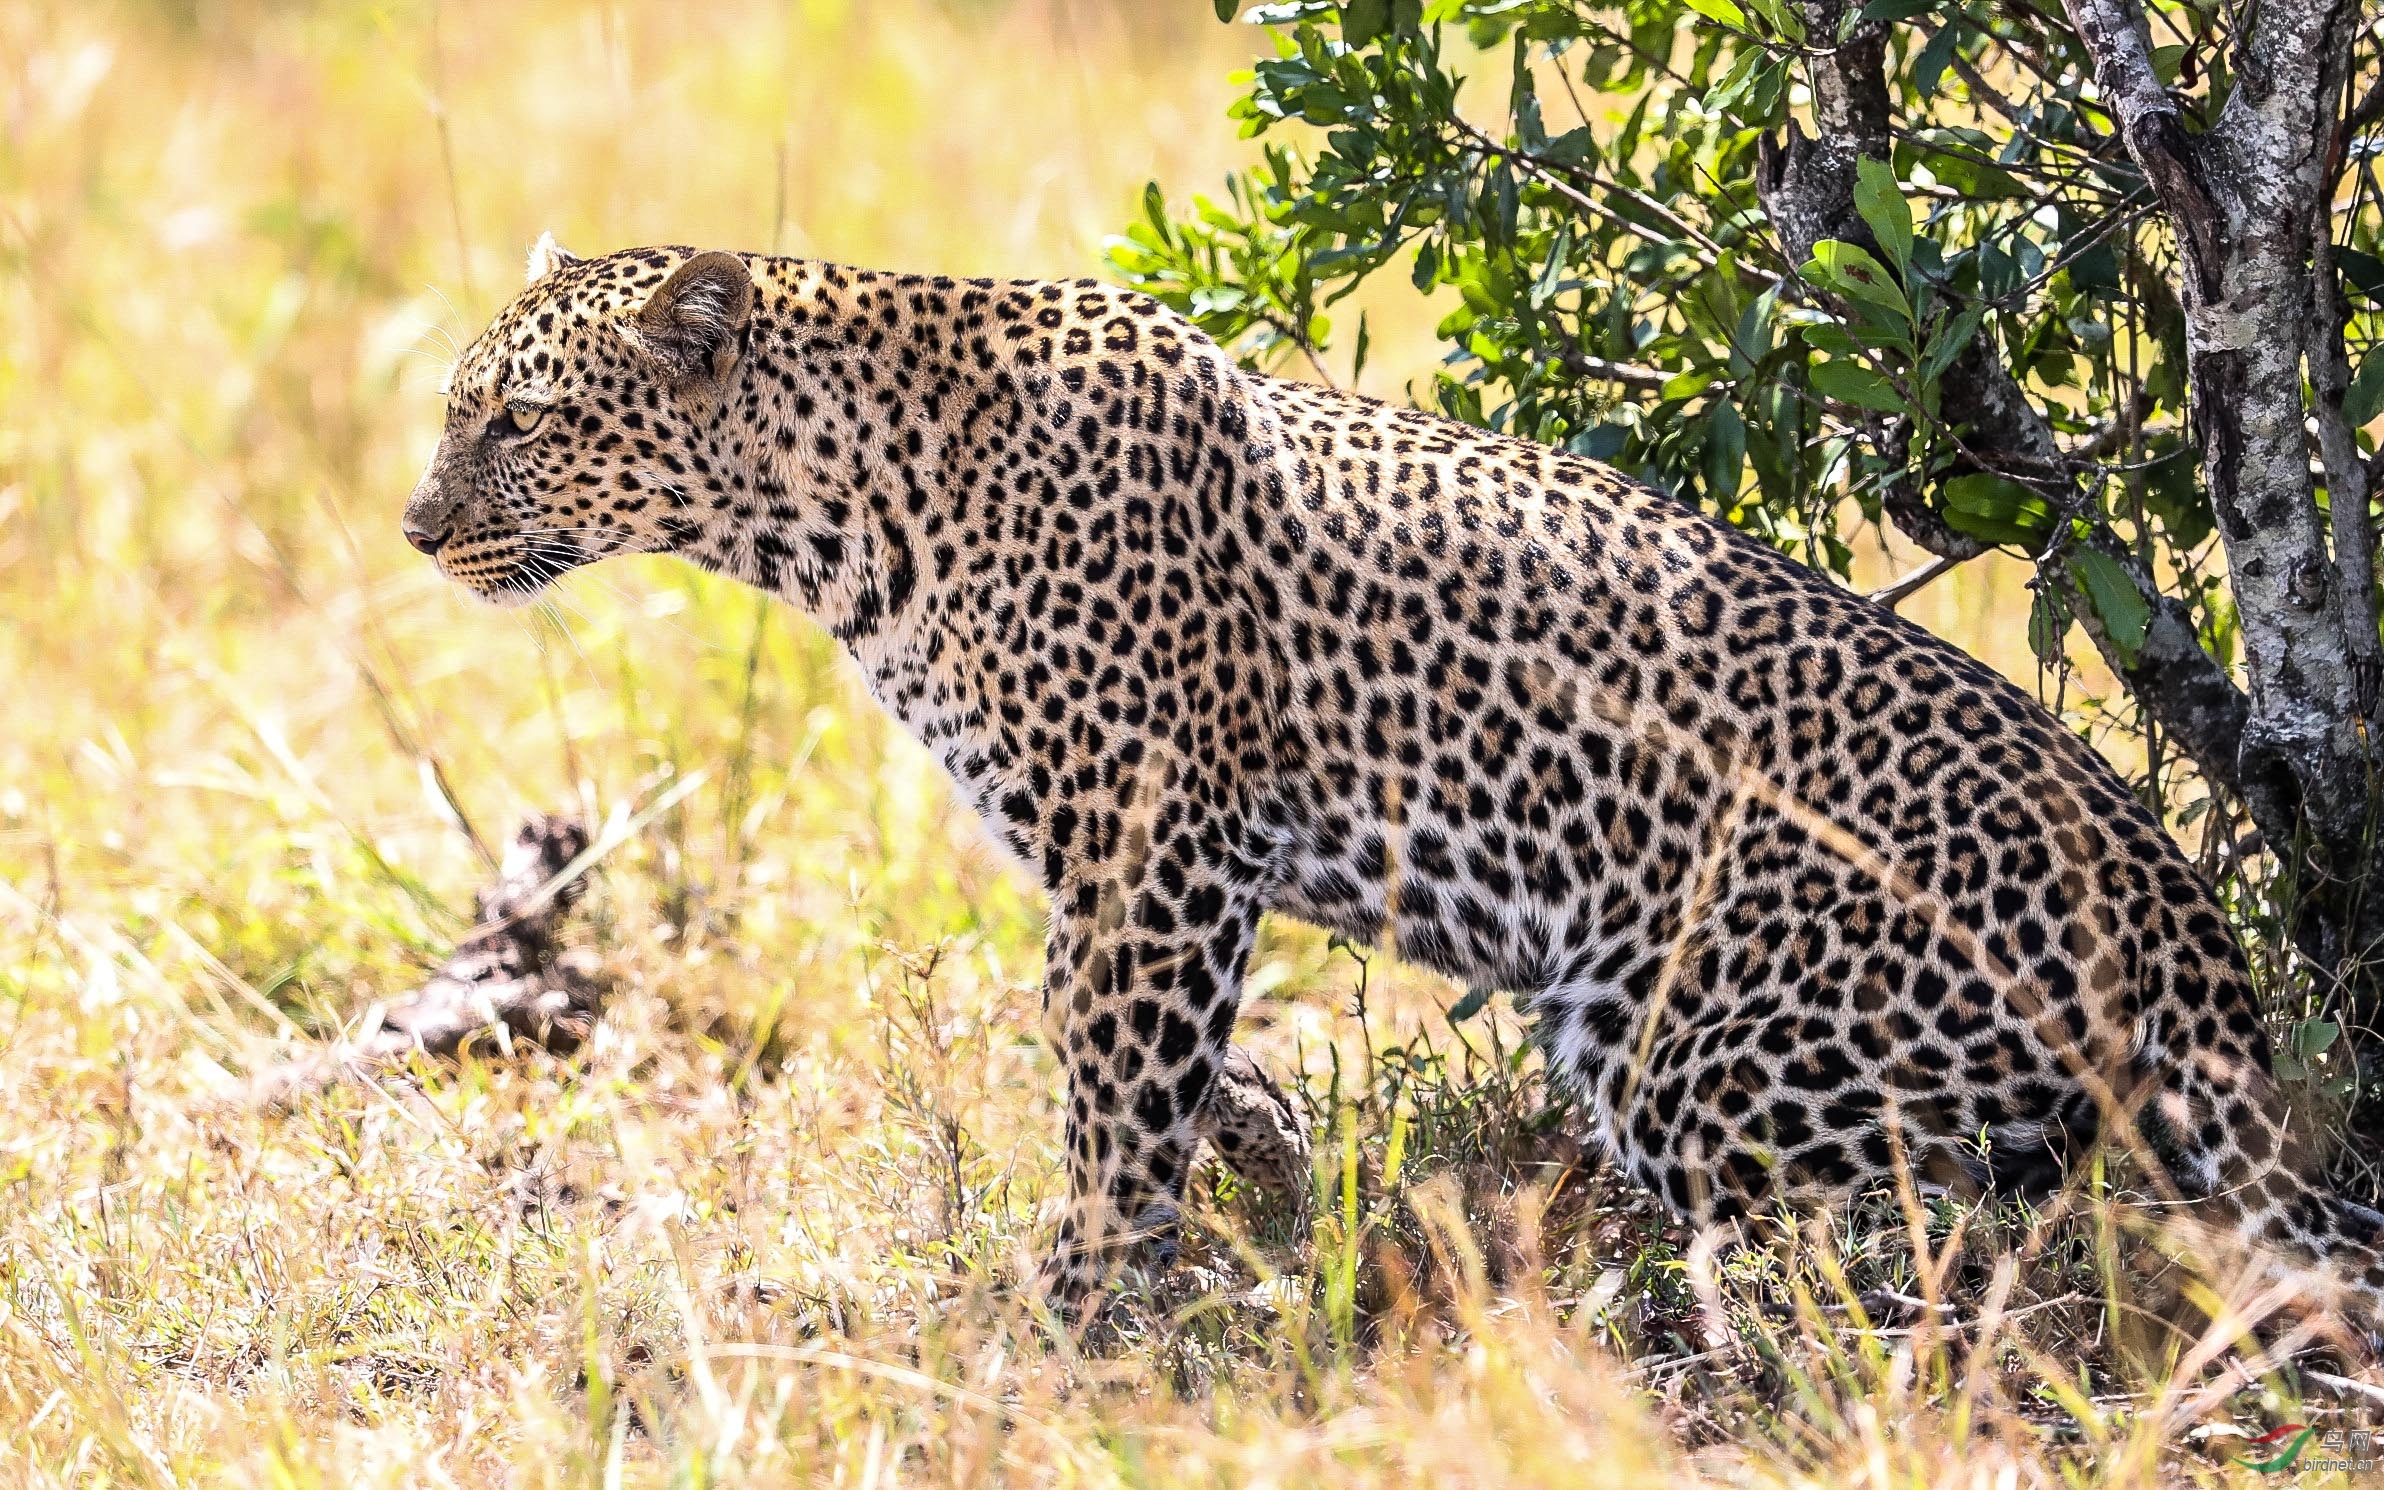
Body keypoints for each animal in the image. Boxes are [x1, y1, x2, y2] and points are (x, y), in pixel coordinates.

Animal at [405, 238, 2384, 1335]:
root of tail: (2190, 932)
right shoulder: (1113, 871)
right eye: (450, 407)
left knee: (1959, 1250)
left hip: (1702, 1047)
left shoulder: (1152, 852)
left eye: (518, 419)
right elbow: (1150, 1074)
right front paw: (1246, 1182)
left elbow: (1115, 1104)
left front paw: (1075, 1307)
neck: (834, 522)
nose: (416, 526)